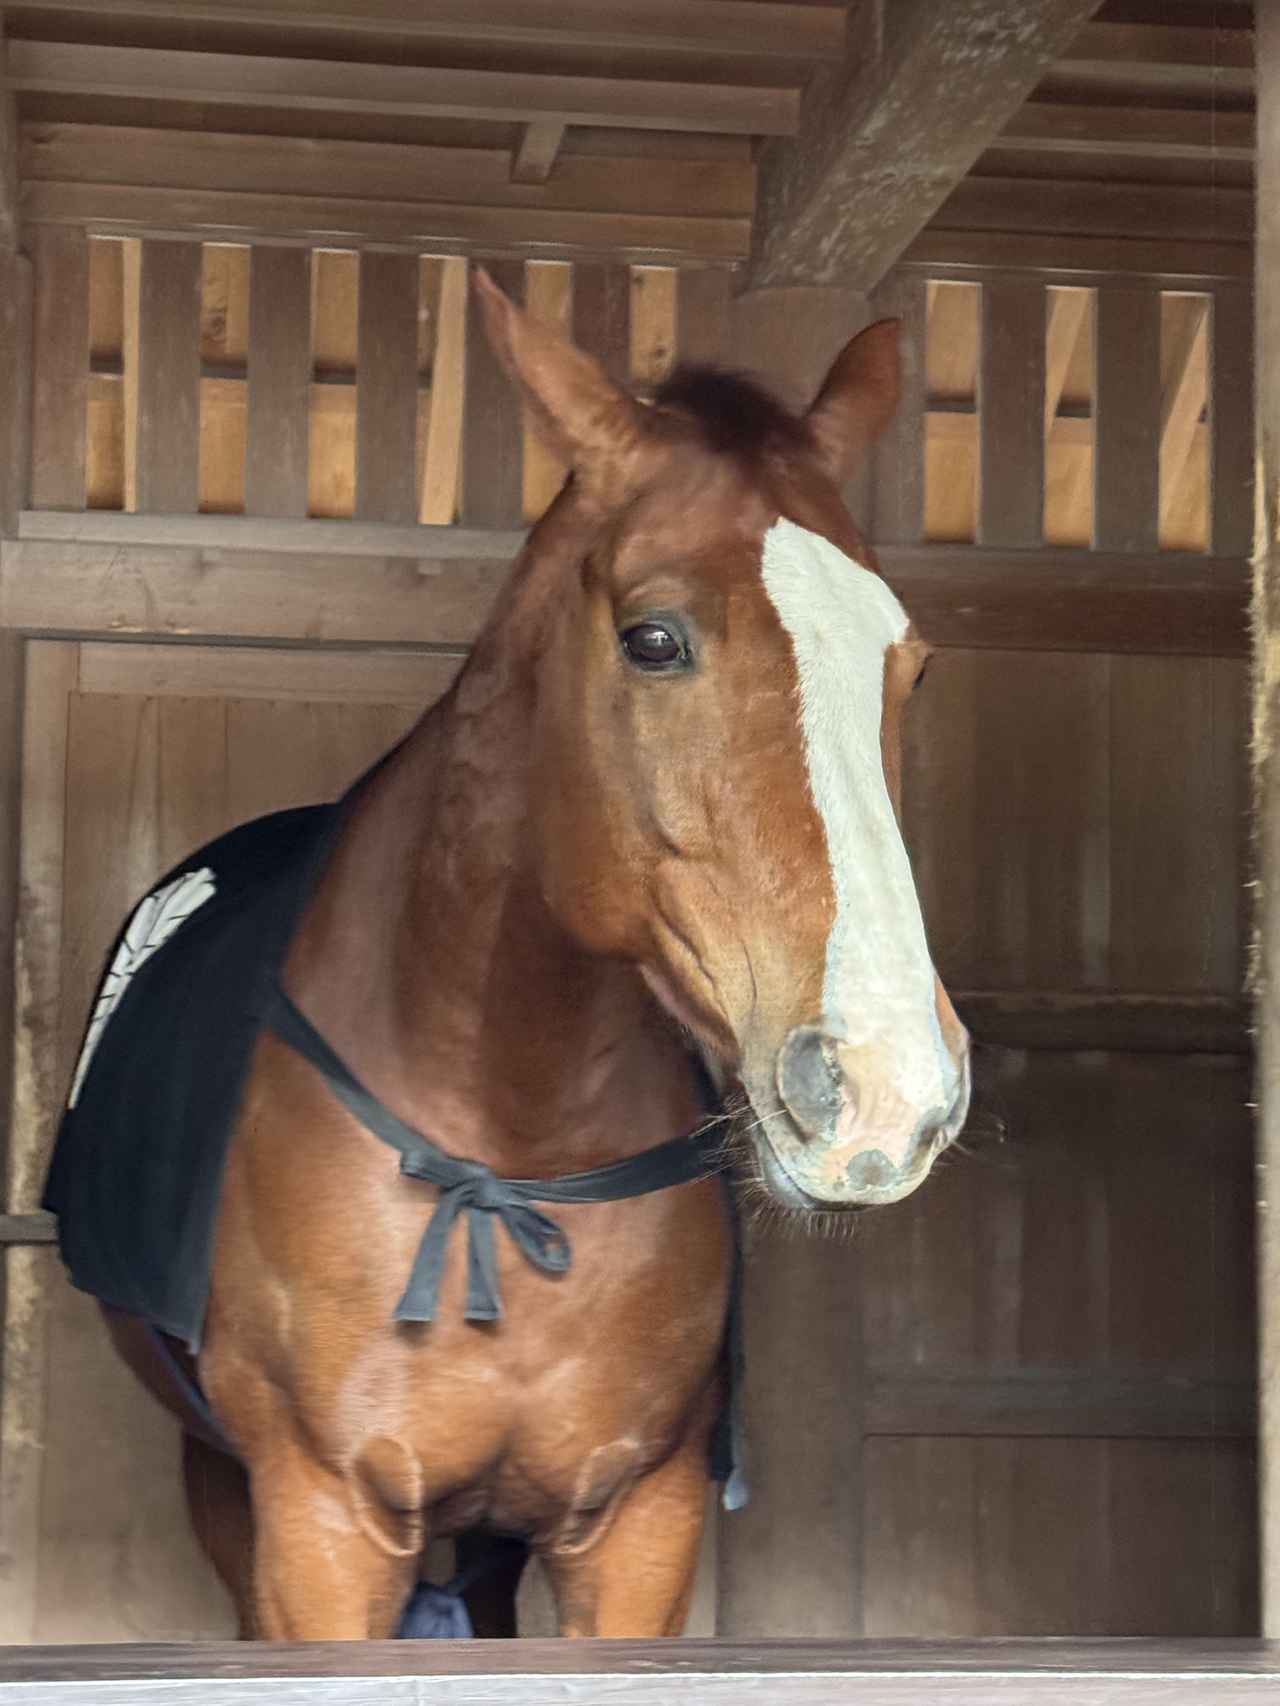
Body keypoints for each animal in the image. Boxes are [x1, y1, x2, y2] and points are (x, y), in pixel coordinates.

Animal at [67, 270, 970, 1641]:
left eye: (903, 665)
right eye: (652, 638)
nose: (882, 1088)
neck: (510, 1139)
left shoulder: (637, 1525)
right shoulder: (322, 1530)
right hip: (222, 1474)